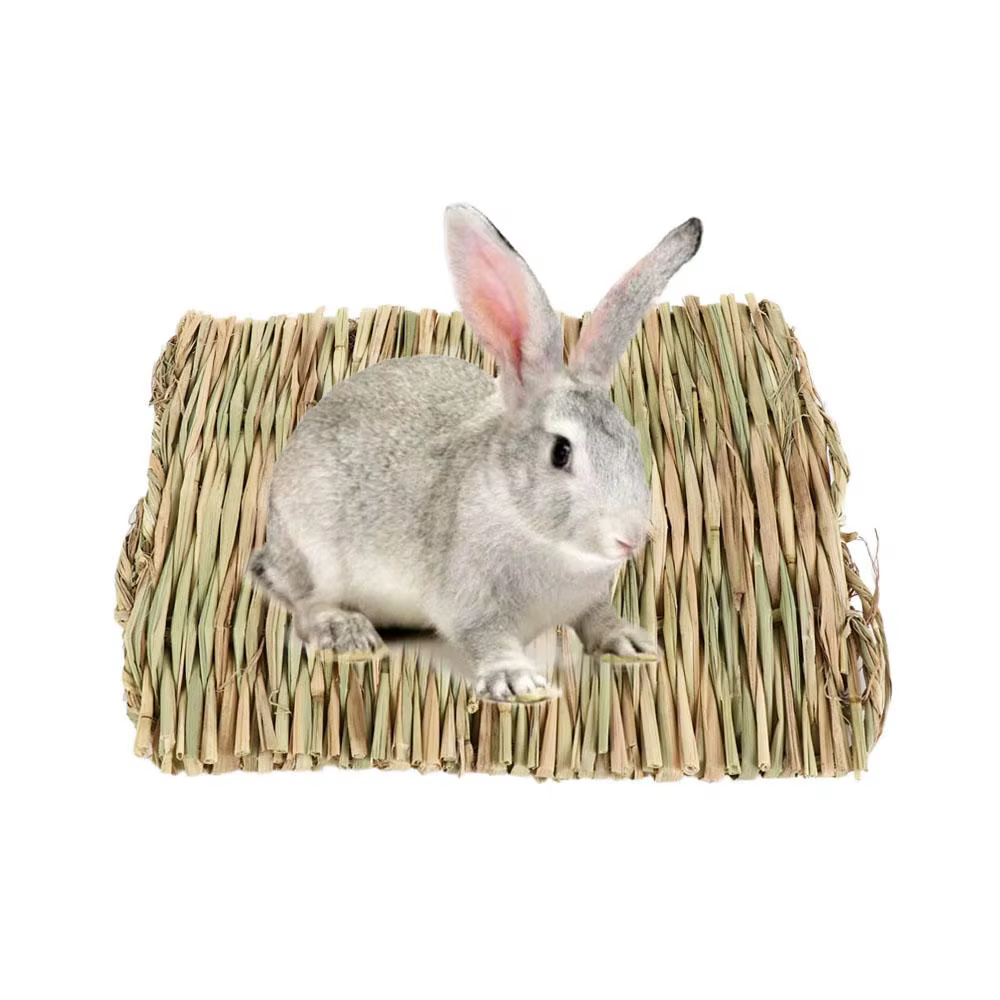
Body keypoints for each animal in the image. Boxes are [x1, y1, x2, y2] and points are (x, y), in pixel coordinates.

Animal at [248, 204, 702, 701]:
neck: (544, 539)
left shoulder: (589, 598)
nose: (630, 539)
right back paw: (345, 630)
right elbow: (486, 636)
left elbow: (596, 618)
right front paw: (517, 681)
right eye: (560, 452)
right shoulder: (469, 600)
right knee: (306, 605)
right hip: (313, 549)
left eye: (632, 440)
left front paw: (630, 642)